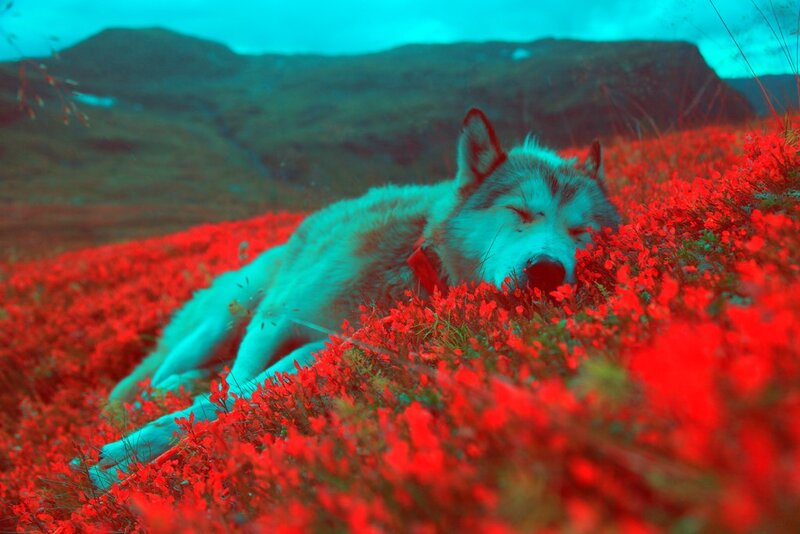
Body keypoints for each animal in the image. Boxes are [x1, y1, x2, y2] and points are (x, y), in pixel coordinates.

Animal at [85, 108, 620, 489]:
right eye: (519, 212)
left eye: (581, 233)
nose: (547, 271)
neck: (414, 264)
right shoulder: (275, 321)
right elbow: (232, 390)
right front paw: (126, 455)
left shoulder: (323, 346)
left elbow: (234, 399)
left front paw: (129, 460)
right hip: (227, 317)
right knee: (152, 376)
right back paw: (139, 401)